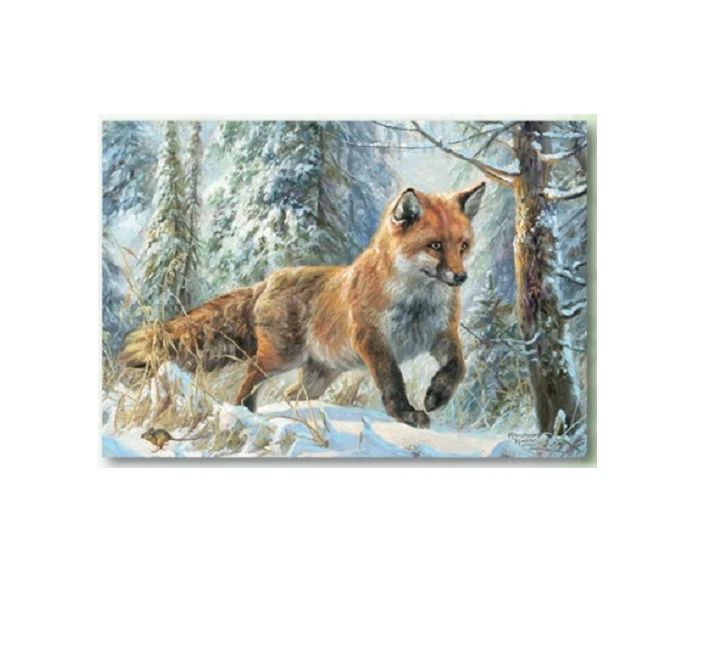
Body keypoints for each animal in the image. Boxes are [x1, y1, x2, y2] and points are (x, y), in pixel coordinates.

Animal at [121, 181, 486, 428]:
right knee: (249, 378)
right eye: (435, 246)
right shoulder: (374, 340)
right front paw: (406, 413)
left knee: (291, 394)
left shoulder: (440, 334)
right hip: (280, 358)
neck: (417, 303)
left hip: (318, 376)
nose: (461, 276)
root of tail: (267, 281)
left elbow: (458, 367)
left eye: (463, 246)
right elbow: (392, 380)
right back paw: (243, 412)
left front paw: (437, 394)